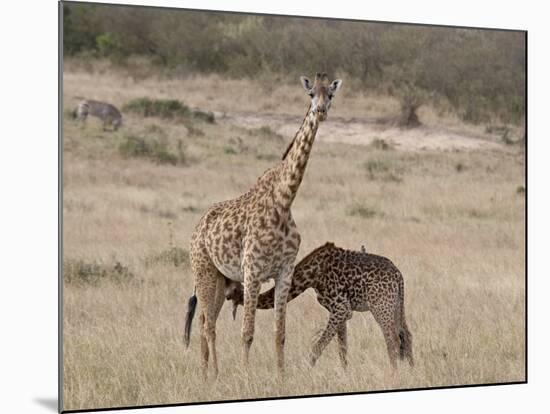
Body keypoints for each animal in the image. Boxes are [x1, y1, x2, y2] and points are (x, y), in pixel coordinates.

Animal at [224, 241, 414, 370]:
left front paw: (306, 371)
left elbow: (317, 347)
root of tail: (398, 275)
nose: (225, 296)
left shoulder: (341, 308)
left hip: (380, 306)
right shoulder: (342, 312)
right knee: (406, 335)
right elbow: (342, 348)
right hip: (397, 304)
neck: (311, 276)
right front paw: (345, 375)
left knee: (393, 340)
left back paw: (393, 376)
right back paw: (411, 372)